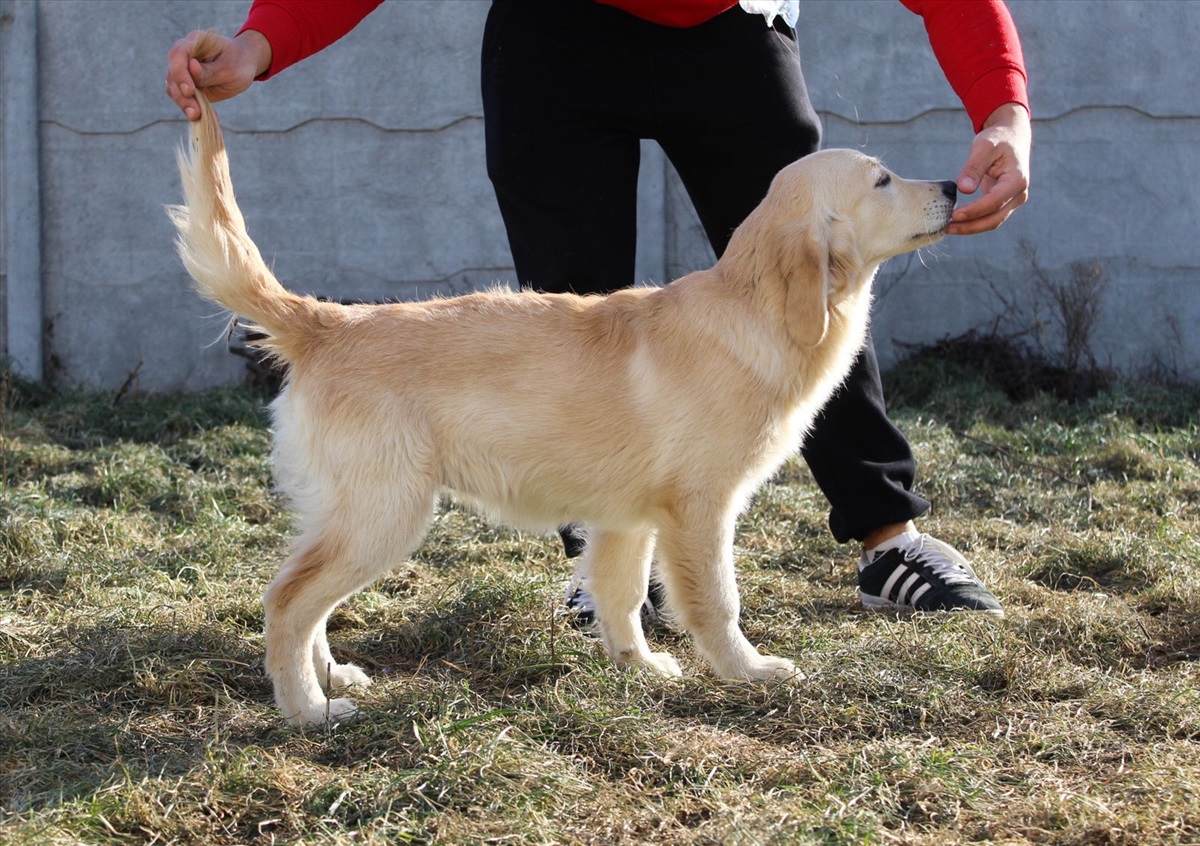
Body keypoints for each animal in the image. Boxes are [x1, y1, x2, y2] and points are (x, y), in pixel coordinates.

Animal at [166, 92, 955, 724]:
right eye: (883, 179)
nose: (952, 182)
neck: (752, 311)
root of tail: (326, 323)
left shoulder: (629, 518)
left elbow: (622, 596)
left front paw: (640, 668)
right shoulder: (699, 509)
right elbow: (715, 601)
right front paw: (748, 672)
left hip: (351, 512)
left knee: (306, 597)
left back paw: (331, 676)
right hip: (384, 511)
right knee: (287, 601)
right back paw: (308, 711)